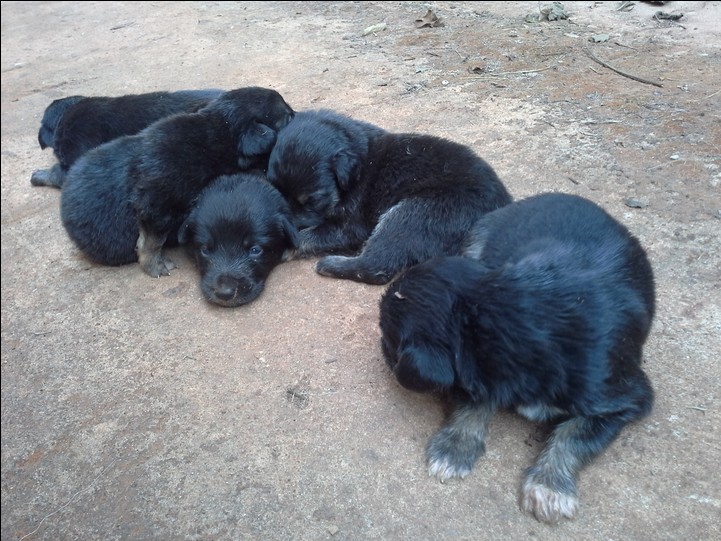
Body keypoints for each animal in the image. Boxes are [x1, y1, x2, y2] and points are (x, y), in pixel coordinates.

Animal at [60, 87, 294, 272]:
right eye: (286, 117)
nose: (296, 114)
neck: (217, 134)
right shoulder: (158, 200)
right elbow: (151, 240)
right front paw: (154, 264)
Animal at [266, 110, 512, 286]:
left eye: (313, 200)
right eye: (277, 193)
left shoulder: (349, 226)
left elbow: (310, 235)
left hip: (413, 214)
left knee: (376, 265)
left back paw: (330, 264)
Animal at [380, 192, 656, 520]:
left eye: (387, 337)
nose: (382, 348)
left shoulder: (625, 398)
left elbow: (575, 434)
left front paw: (550, 488)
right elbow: (474, 399)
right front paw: (454, 449)